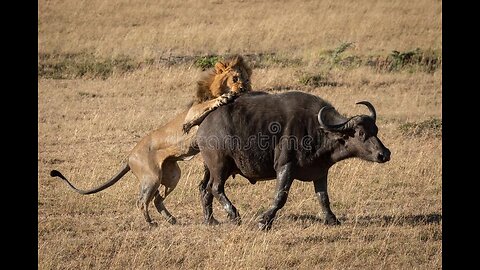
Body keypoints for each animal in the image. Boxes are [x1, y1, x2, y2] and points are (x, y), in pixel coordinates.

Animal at [50, 54, 253, 226]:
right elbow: (207, 105)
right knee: (142, 201)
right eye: (235, 78)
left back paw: (171, 220)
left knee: (157, 199)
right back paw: (150, 223)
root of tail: (129, 157)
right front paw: (224, 97)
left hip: (172, 176)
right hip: (151, 177)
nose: (244, 89)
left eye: (246, 79)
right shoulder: (191, 114)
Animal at [194, 90, 390, 230]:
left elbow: (323, 197)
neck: (318, 130)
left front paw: (332, 220)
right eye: (361, 133)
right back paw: (234, 215)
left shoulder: (320, 171)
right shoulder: (285, 167)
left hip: (210, 168)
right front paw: (264, 221)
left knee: (204, 188)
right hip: (220, 166)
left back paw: (210, 220)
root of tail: (204, 126)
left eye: (376, 130)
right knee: (215, 188)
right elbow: (280, 196)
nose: (384, 154)